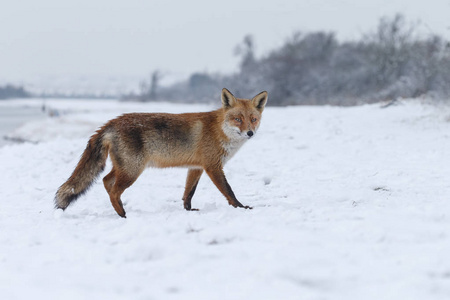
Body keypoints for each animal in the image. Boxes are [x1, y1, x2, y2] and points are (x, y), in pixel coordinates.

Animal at [55, 88, 268, 218]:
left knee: (106, 181)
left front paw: (188, 210)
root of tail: (112, 122)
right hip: (133, 170)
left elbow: (188, 193)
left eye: (253, 119)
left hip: (125, 168)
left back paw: (120, 210)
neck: (219, 130)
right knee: (113, 190)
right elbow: (228, 191)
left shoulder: (196, 167)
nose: (250, 133)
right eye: (238, 119)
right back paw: (123, 215)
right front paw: (241, 208)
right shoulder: (213, 167)